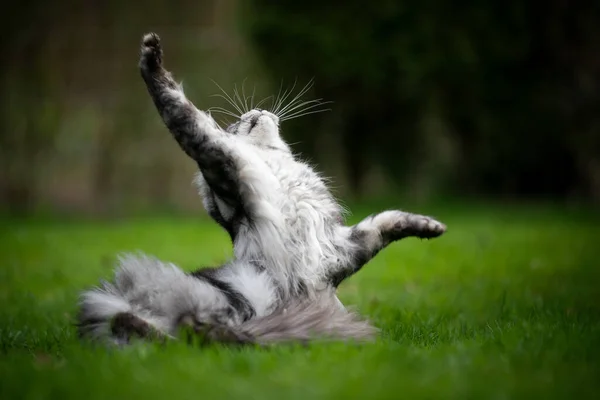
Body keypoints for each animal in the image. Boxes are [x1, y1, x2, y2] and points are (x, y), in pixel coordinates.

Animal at [75, 32, 446, 346]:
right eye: (232, 124)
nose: (256, 110)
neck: (277, 165)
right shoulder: (224, 160)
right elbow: (181, 112)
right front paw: (151, 59)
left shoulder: (339, 250)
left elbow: (385, 222)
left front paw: (431, 226)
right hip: (243, 292)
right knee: (190, 329)